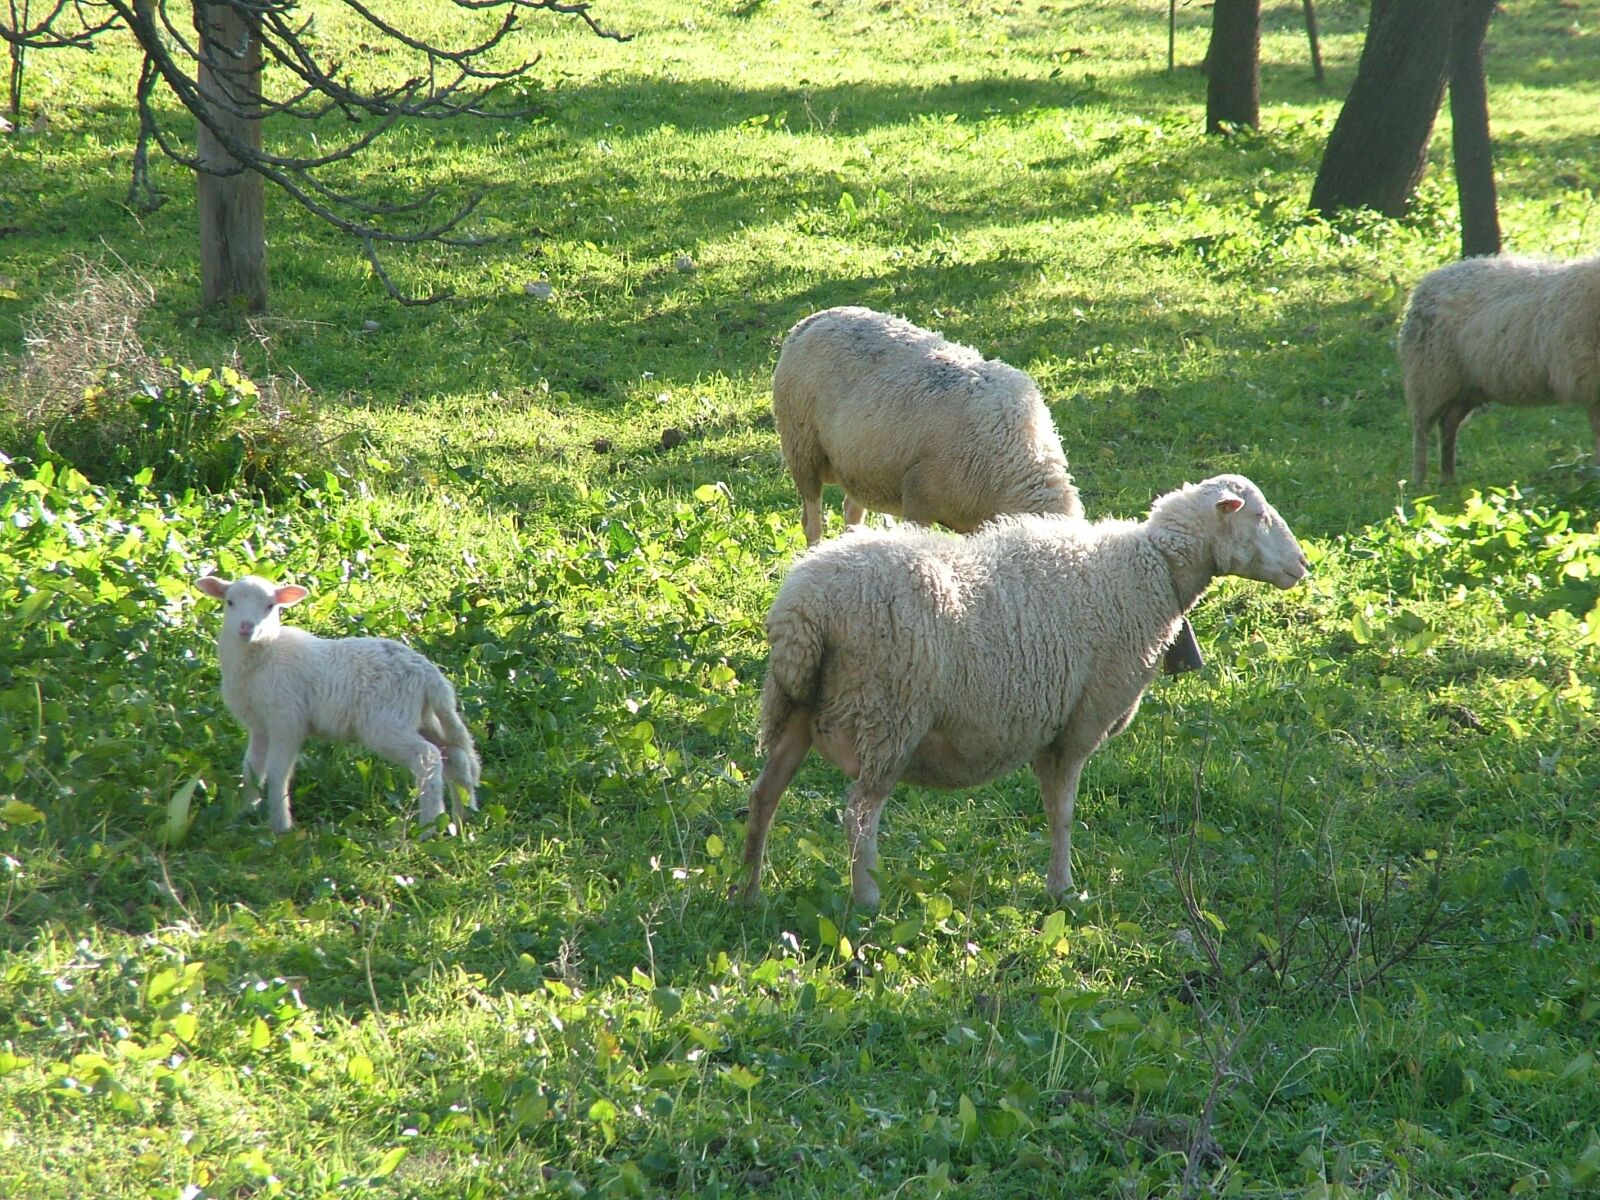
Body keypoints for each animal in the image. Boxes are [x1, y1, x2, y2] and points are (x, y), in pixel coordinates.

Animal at [196, 572, 476, 838]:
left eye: (270, 606)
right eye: (230, 602)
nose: (246, 627)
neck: (265, 654)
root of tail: (430, 677)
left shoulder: (287, 720)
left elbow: (277, 773)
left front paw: (281, 826)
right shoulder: (259, 725)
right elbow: (251, 770)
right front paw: (244, 814)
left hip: (386, 722)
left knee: (428, 757)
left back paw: (428, 827)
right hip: (424, 718)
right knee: (457, 757)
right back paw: (463, 818)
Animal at [742, 473, 1305, 908]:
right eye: (1259, 516)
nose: (1303, 565)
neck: (1151, 571)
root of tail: (804, 609)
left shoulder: (1043, 725)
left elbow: (1051, 805)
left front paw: (1057, 884)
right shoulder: (1082, 722)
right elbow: (1065, 813)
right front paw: (1064, 888)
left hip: (795, 706)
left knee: (764, 794)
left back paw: (747, 890)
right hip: (889, 715)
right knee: (859, 815)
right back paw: (866, 899)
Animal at [771, 300, 1203, 678]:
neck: (1015, 466)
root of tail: (818, 316)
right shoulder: (918, 499)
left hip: (857, 466)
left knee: (852, 510)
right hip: (802, 447)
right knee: (811, 517)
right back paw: (813, 554)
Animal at [1395, 249, 1600, 483]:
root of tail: (1427, 282)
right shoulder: (1590, 382)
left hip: (1467, 387)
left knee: (1448, 423)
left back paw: (1448, 478)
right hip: (1430, 378)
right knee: (1422, 429)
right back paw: (1419, 481)